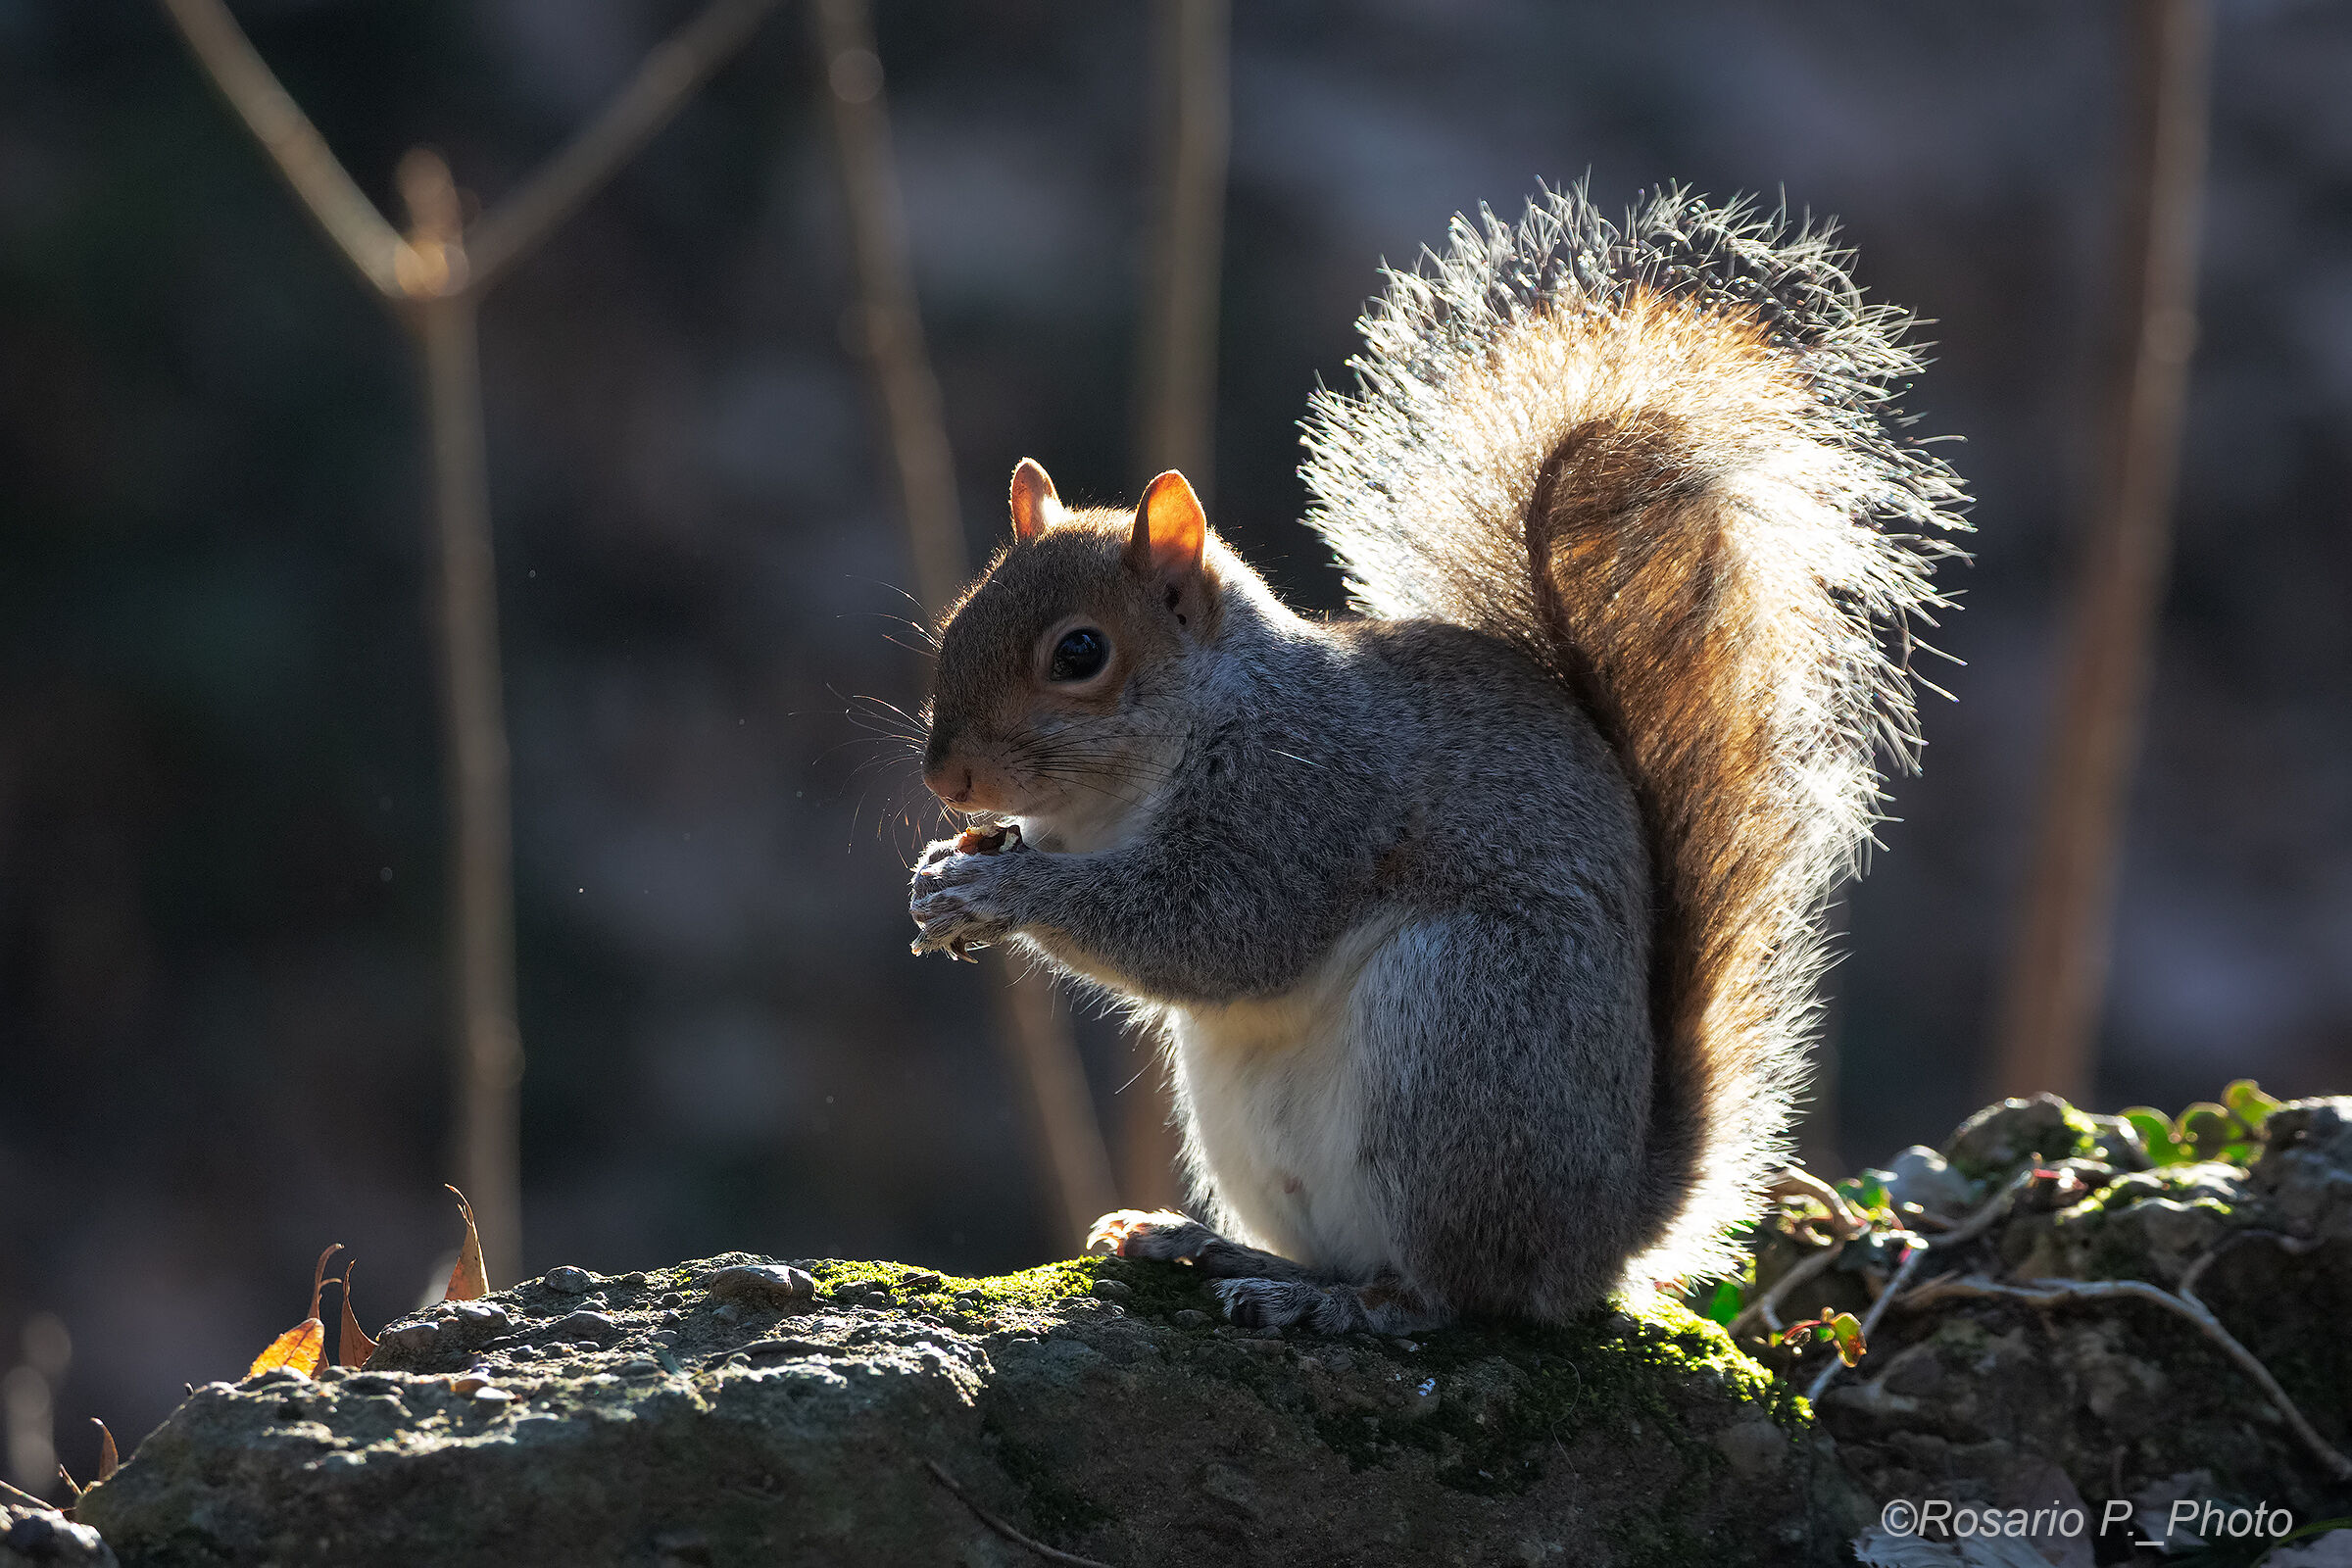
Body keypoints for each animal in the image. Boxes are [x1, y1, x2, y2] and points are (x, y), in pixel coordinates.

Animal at [906, 186, 1965, 1334]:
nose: (946, 781)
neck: (1127, 790)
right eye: (959, 618)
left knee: (1456, 1293)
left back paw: (1350, 1306)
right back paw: (1209, 1247)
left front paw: (1004, 889)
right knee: (1342, 1252)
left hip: (1460, 1029)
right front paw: (944, 875)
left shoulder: (1308, 791)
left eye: (1080, 654)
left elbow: (1216, 927)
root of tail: (1602, 1239)